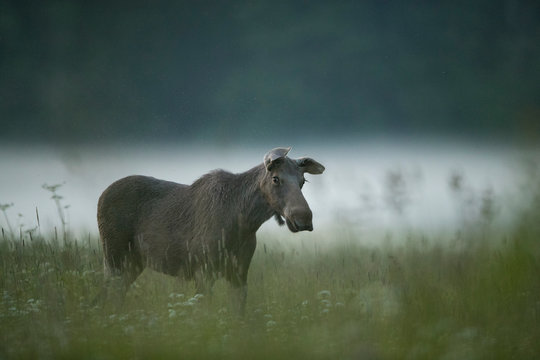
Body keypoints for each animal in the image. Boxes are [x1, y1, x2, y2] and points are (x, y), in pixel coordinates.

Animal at [97, 148, 324, 314]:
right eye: (275, 178)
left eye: (303, 181)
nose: (304, 218)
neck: (244, 223)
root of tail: (101, 196)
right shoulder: (203, 271)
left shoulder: (240, 273)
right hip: (113, 257)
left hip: (133, 263)